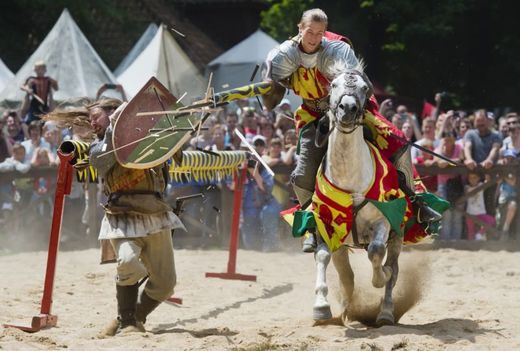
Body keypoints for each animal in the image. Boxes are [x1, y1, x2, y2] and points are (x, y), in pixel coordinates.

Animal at [310, 66, 404, 328]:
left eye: (364, 88)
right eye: (333, 85)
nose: (348, 108)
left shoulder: (384, 222)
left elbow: (376, 253)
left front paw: (381, 277)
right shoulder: (326, 224)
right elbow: (322, 256)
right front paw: (321, 306)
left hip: (398, 237)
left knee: (393, 267)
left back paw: (385, 312)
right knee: (347, 276)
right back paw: (347, 313)